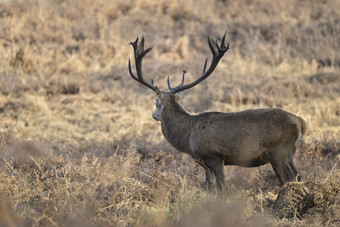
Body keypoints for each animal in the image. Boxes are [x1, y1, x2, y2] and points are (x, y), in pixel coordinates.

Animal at [127, 32, 306, 190]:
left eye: (156, 103)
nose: (153, 115)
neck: (188, 136)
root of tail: (300, 121)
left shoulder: (214, 156)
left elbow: (221, 187)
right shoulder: (206, 163)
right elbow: (209, 187)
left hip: (277, 151)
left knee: (286, 180)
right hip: (290, 153)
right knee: (297, 177)